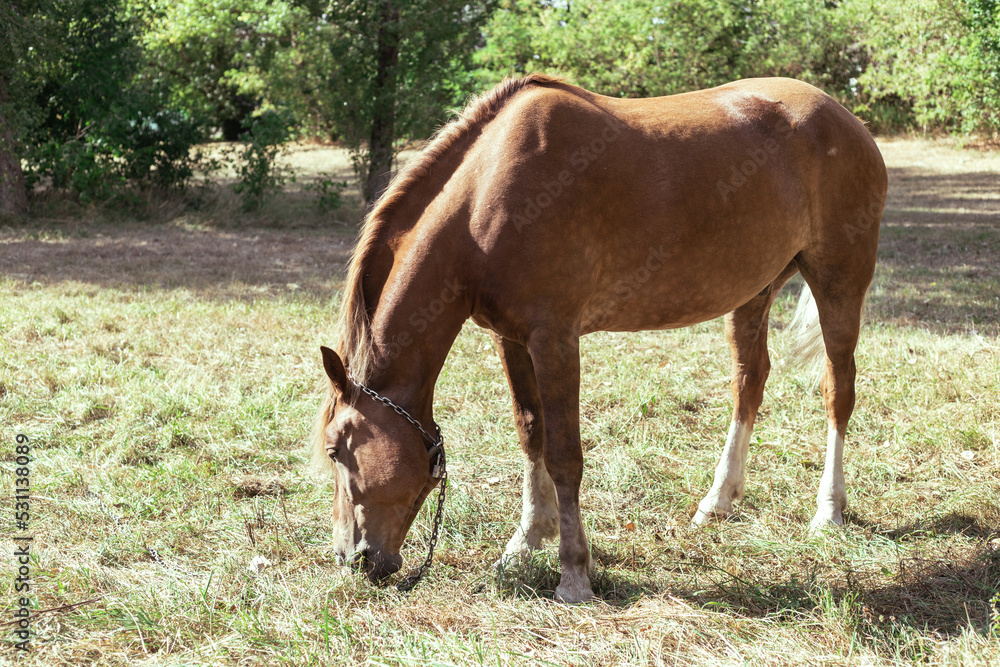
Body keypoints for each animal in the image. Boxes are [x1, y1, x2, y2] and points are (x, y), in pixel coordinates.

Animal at [310, 74, 884, 604]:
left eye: (336, 450)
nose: (353, 559)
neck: (486, 196)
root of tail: (845, 119)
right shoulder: (511, 340)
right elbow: (531, 433)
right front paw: (526, 541)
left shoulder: (555, 339)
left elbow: (565, 454)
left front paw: (573, 573)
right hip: (755, 290)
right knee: (750, 382)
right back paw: (718, 501)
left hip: (839, 280)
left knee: (838, 389)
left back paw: (829, 510)